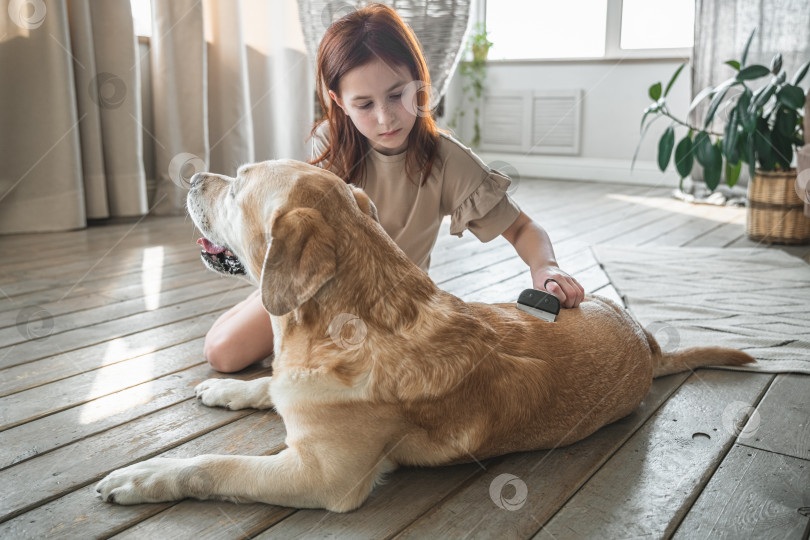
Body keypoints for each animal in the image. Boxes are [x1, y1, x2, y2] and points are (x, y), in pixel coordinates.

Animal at [98, 159, 756, 510]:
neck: (335, 326)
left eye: (235, 187)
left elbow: (214, 466)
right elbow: (270, 386)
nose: (189, 178)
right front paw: (230, 390)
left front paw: (142, 477)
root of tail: (645, 339)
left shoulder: (320, 475)